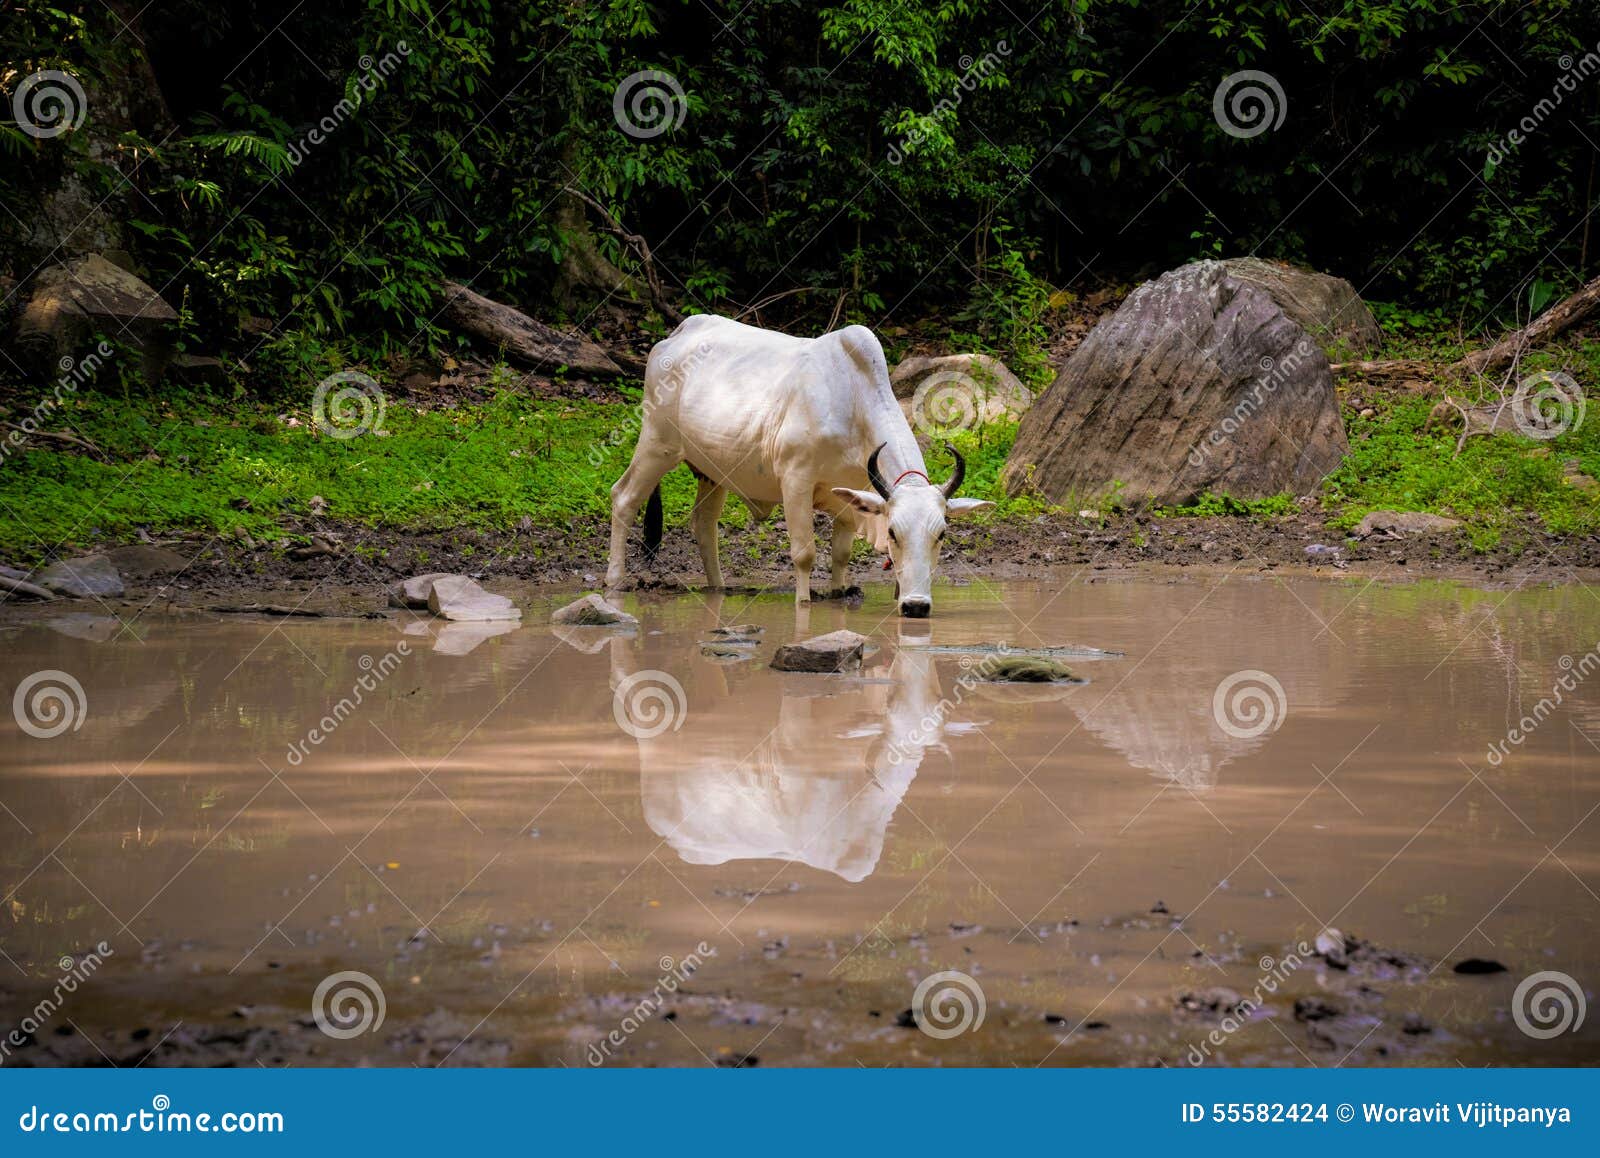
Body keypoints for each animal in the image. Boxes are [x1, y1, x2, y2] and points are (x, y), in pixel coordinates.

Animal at [606, 314, 991, 616]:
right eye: (893, 532)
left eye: (941, 534)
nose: (915, 606)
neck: (853, 403)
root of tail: (676, 335)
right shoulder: (796, 480)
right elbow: (804, 553)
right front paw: (804, 603)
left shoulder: (850, 496)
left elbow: (841, 554)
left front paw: (838, 592)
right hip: (658, 444)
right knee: (623, 497)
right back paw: (614, 581)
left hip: (712, 472)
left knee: (703, 523)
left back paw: (718, 588)